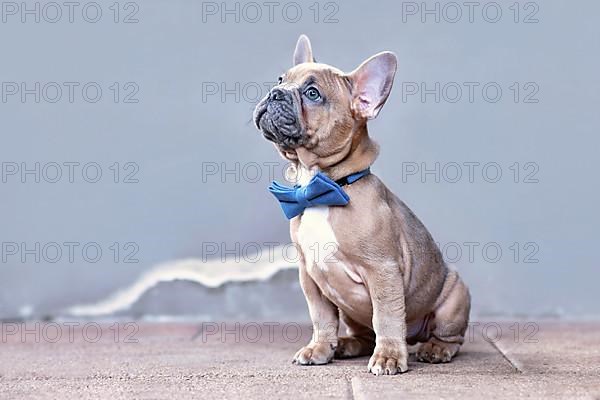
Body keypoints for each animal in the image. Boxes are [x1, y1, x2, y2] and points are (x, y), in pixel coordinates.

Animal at [252, 34, 468, 376]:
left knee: (449, 336)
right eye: (281, 80)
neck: (323, 187)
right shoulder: (309, 276)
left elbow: (387, 317)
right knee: (364, 334)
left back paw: (435, 349)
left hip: (454, 297)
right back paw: (346, 345)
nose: (275, 94)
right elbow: (322, 318)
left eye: (312, 94)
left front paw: (389, 357)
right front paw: (320, 348)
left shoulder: (382, 271)